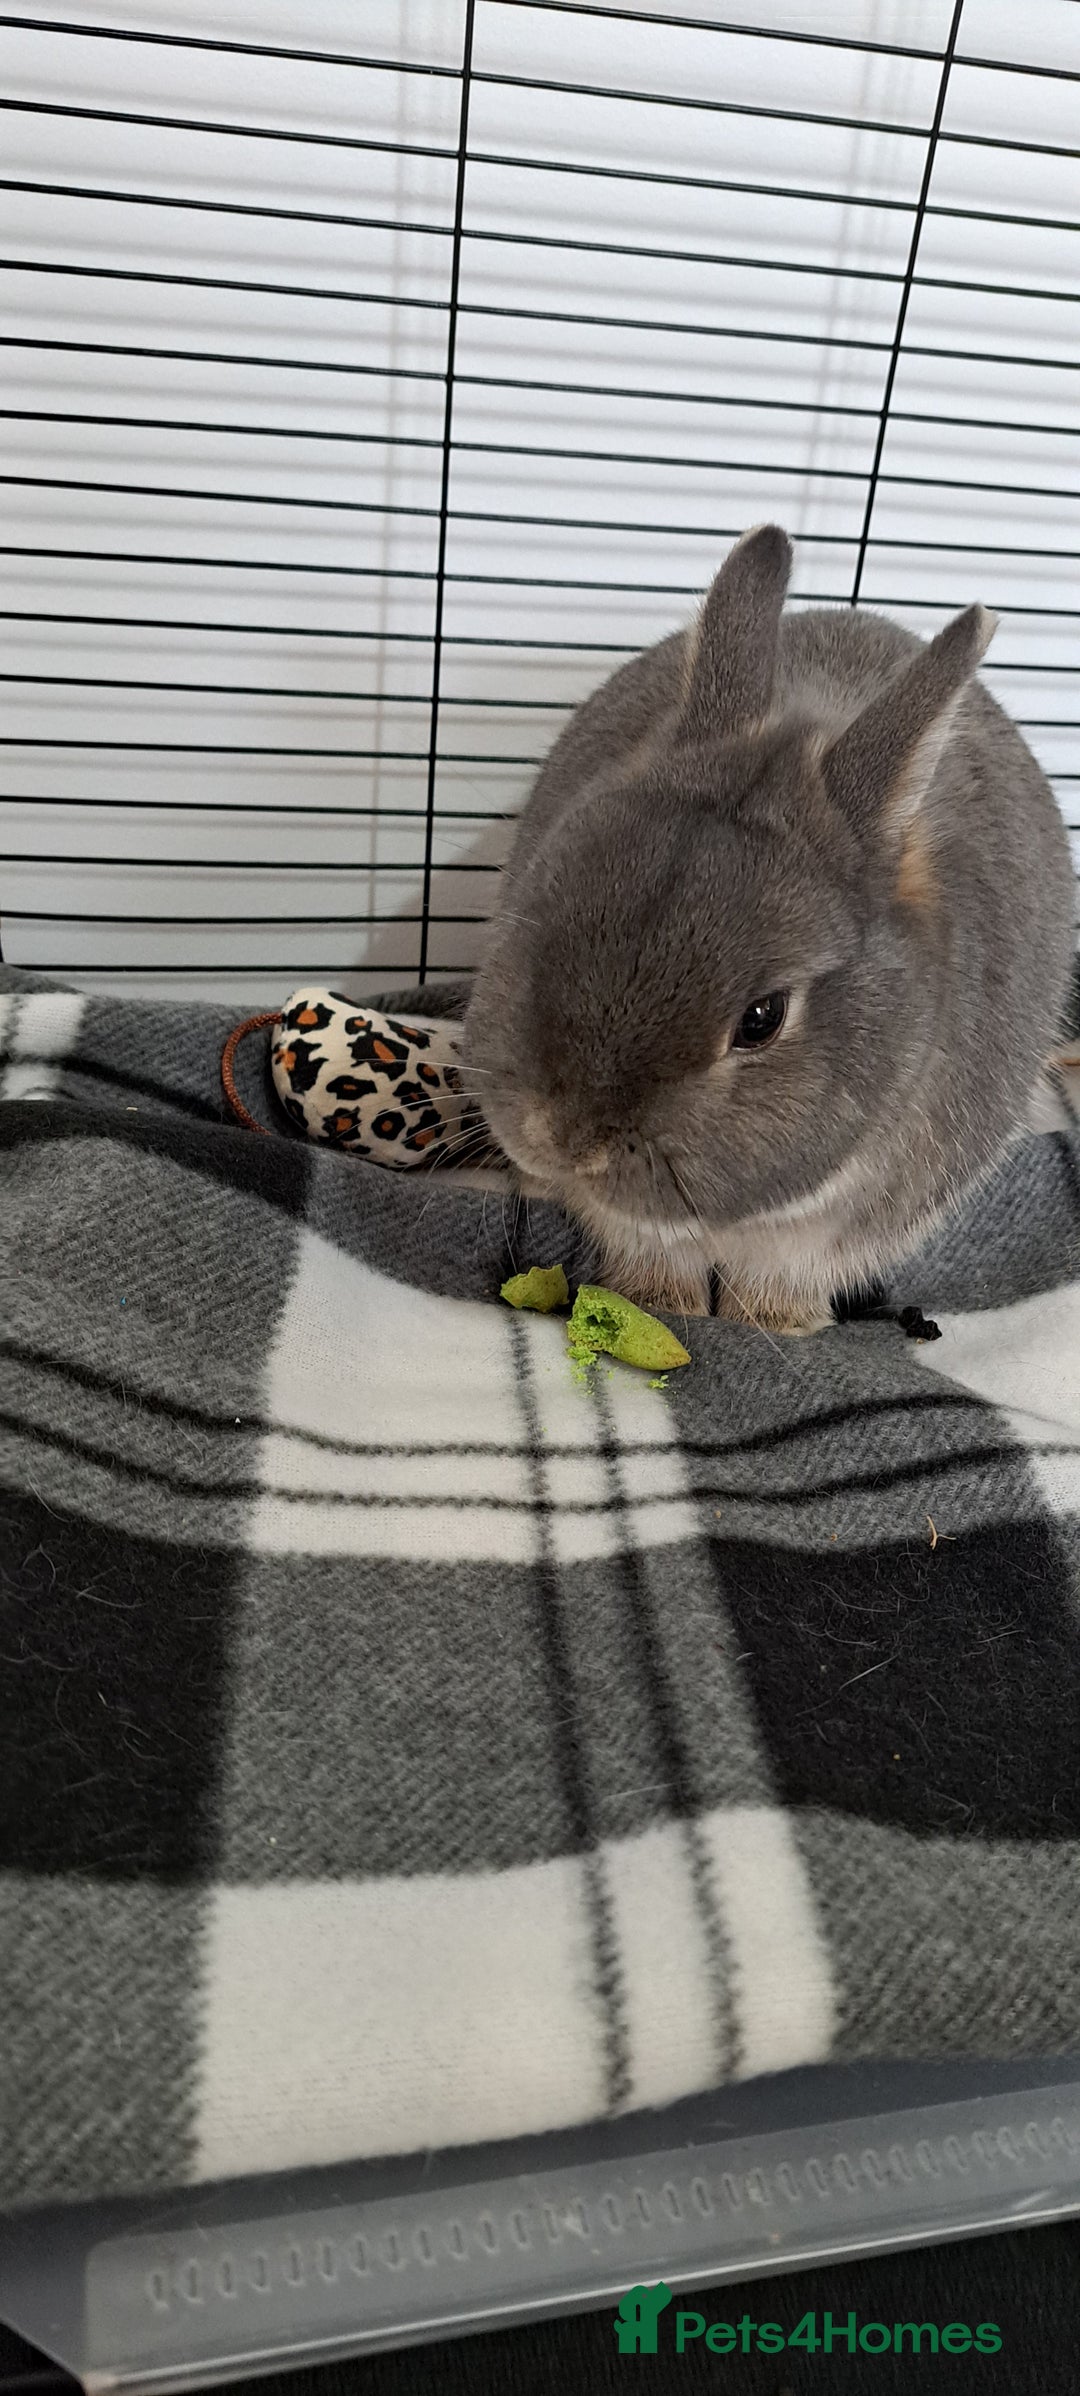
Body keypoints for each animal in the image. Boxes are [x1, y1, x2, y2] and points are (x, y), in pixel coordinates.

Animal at [462, 525, 1075, 1331]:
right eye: (547, 900)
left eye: (762, 1019)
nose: (567, 1142)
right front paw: (660, 1304)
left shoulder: (850, 1226)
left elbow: (786, 1277)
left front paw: (775, 1323)